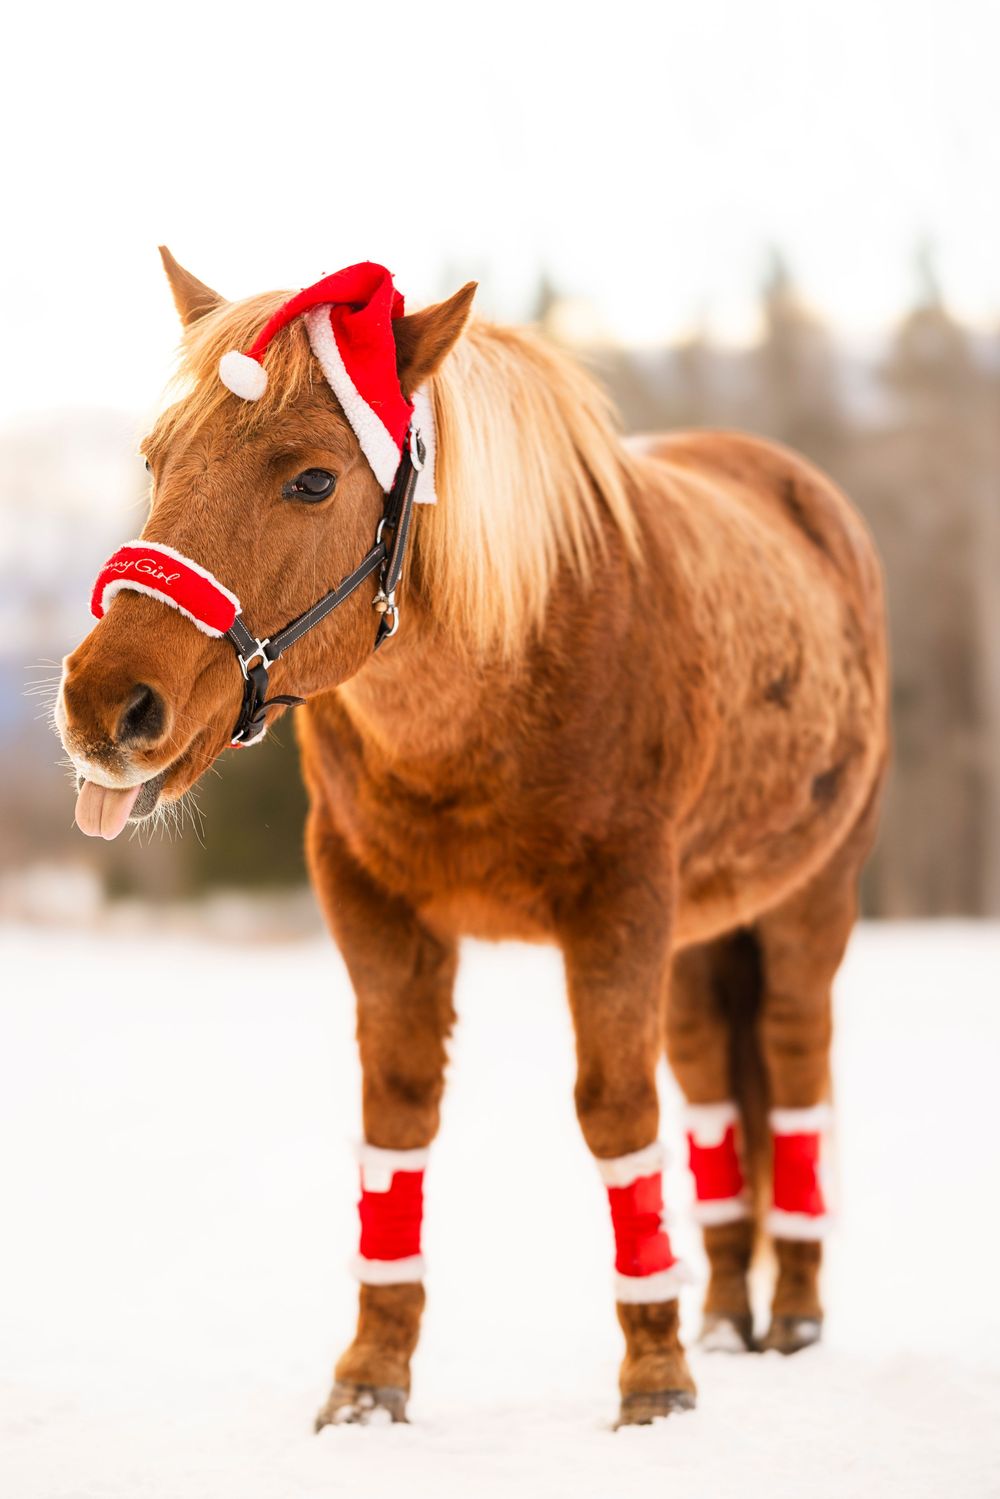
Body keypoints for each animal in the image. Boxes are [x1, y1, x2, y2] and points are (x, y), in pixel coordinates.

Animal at [56, 249, 888, 1429]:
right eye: (154, 460)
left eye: (313, 480)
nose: (105, 703)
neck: (500, 675)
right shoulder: (375, 910)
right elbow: (395, 1121)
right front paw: (370, 1375)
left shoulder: (621, 907)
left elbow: (615, 1114)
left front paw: (653, 1372)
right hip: (699, 930)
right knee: (714, 1087)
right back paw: (726, 1310)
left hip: (811, 900)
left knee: (794, 1062)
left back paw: (793, 1313)